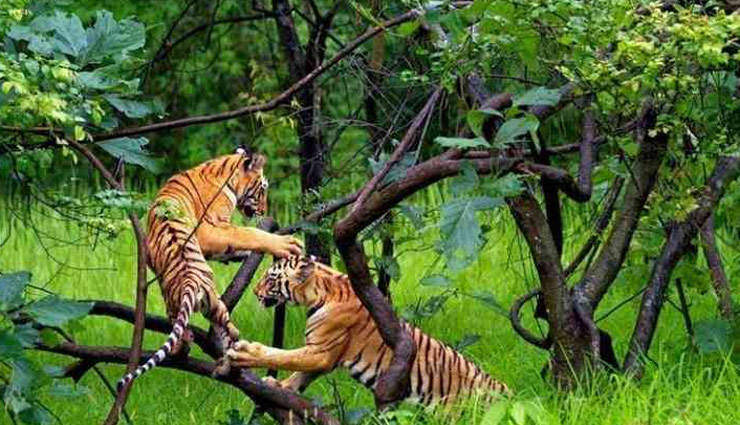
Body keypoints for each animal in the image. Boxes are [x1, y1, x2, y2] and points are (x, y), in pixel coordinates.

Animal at [117, 147, 303, 391]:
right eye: (262, 189)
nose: (264, 210)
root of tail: (190, 280)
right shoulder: (210, 228)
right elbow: (248, 233)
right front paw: (285, 244)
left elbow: (236, 242)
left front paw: (243, 254)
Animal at [226, 255, 508, 405]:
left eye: (270, 278)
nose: (255, 291)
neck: (319, 291)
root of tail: (508, 393)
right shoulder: (323, 355)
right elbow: (299, 374)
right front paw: (280, 385)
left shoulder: (322, 351)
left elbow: (283, 356)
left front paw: (245, 353)